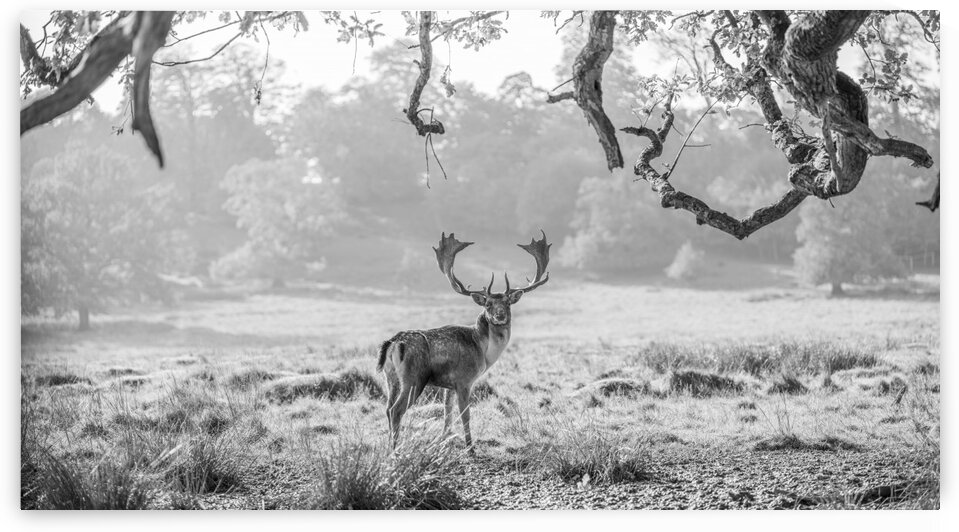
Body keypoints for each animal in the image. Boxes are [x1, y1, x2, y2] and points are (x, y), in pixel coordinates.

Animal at [376, 231, 551, 451]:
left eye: (508, 303)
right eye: (488, 304)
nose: (500, 315)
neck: (483, 351)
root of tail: (393, 343)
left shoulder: (448, 385)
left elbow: (447, 414)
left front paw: (442, 440)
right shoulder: (464, 379)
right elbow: (465, 414)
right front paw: (470, 447)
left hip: (390, 377)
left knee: (387, 408)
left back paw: (388, 446)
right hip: (414, 378)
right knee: (396, 410)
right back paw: (395, 449)